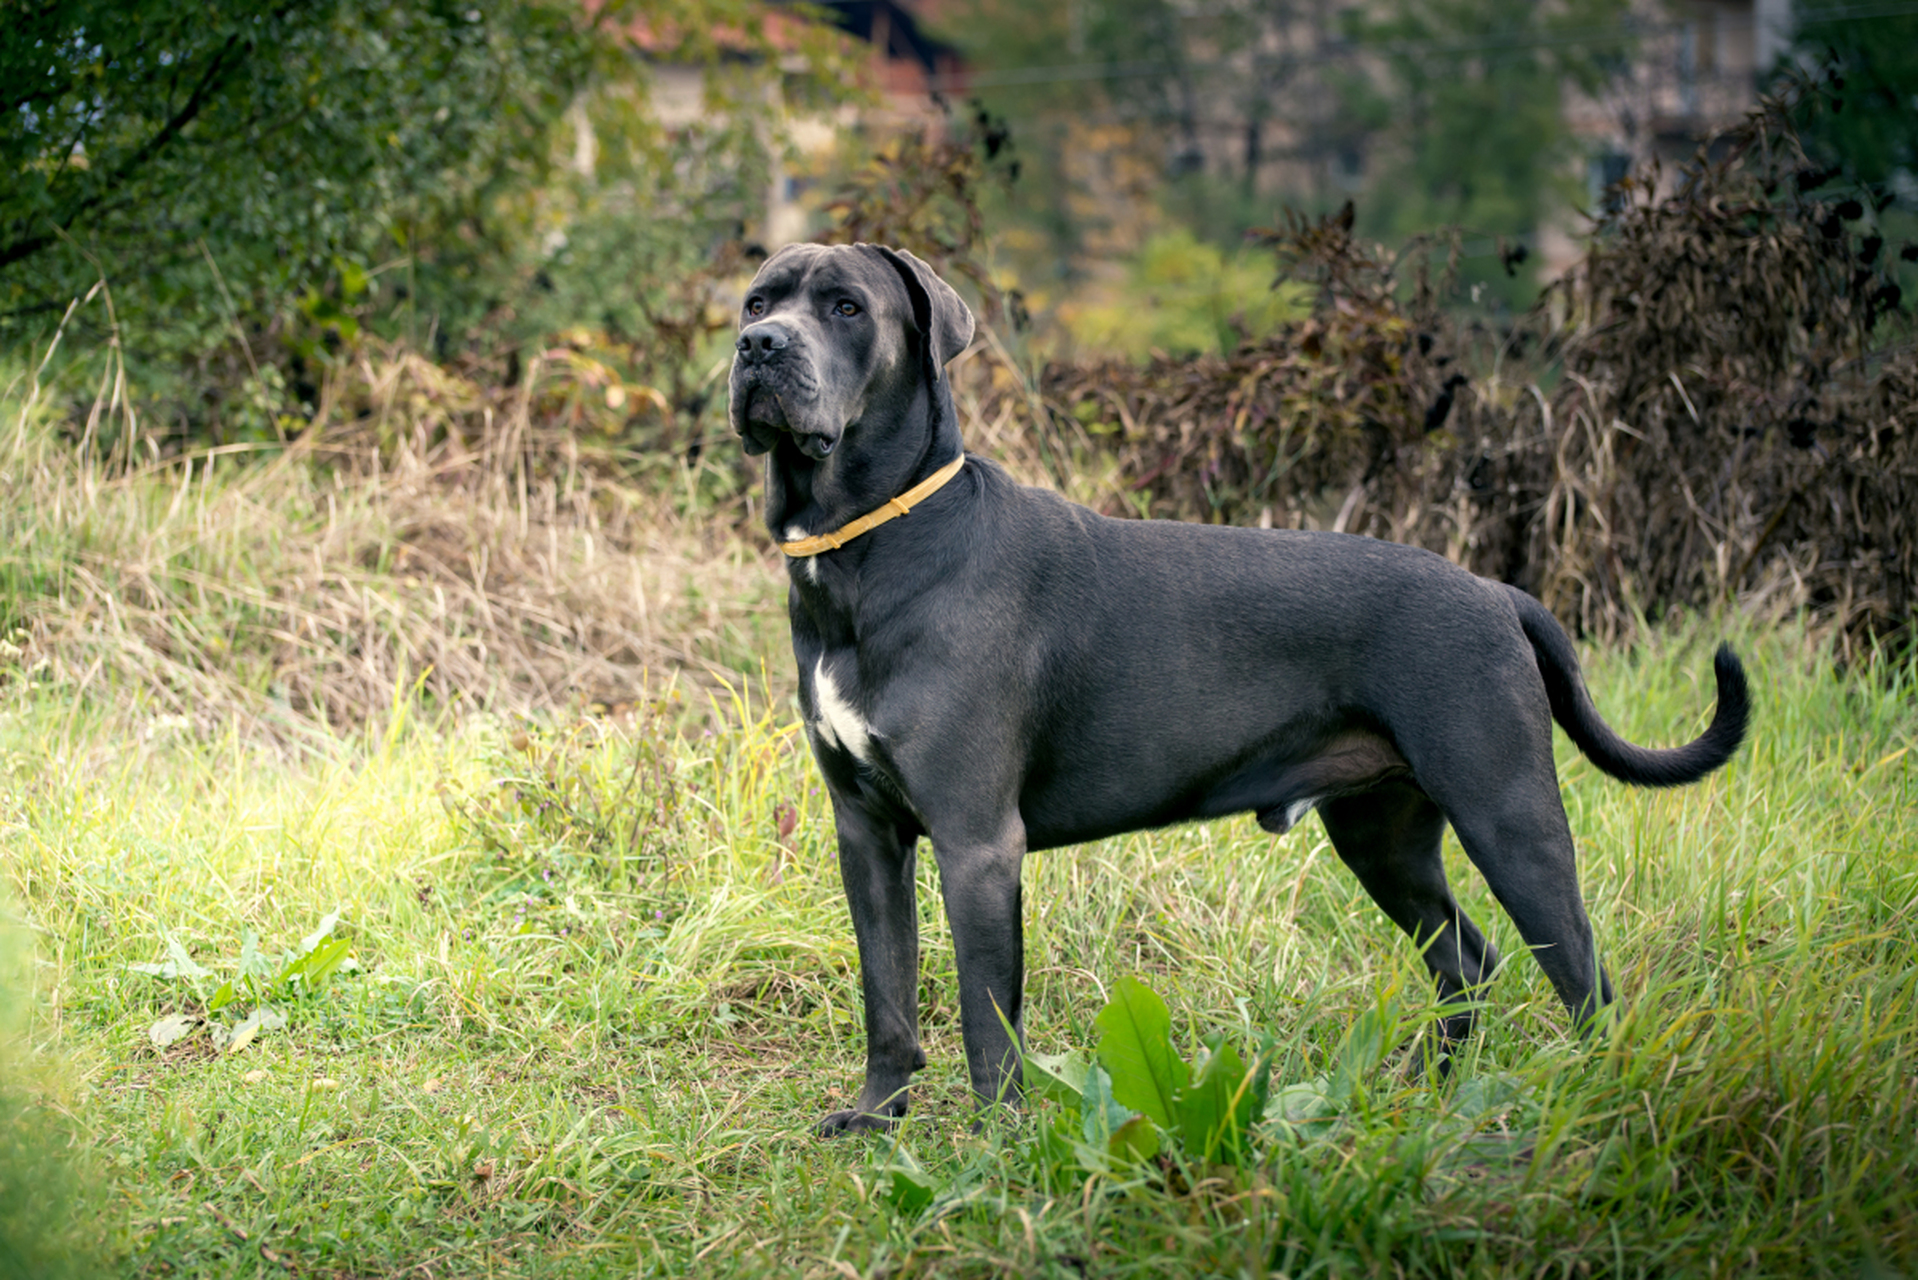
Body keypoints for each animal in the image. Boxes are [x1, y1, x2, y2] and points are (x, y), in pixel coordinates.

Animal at [725, 245, 1749, 1136]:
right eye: (757, 300)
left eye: (847, 307)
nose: (759, 347)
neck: (867, 548)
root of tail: (1497, 593)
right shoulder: (867, 831)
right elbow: (887, 993)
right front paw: (875, 1118)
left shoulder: (977, 842)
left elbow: (987, 1018)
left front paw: (996, 1148)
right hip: (1384, 837)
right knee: (1469, 962)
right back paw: (1433, 1093)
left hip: (1510, 816)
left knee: (1585, 981)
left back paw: (1601, 1101)